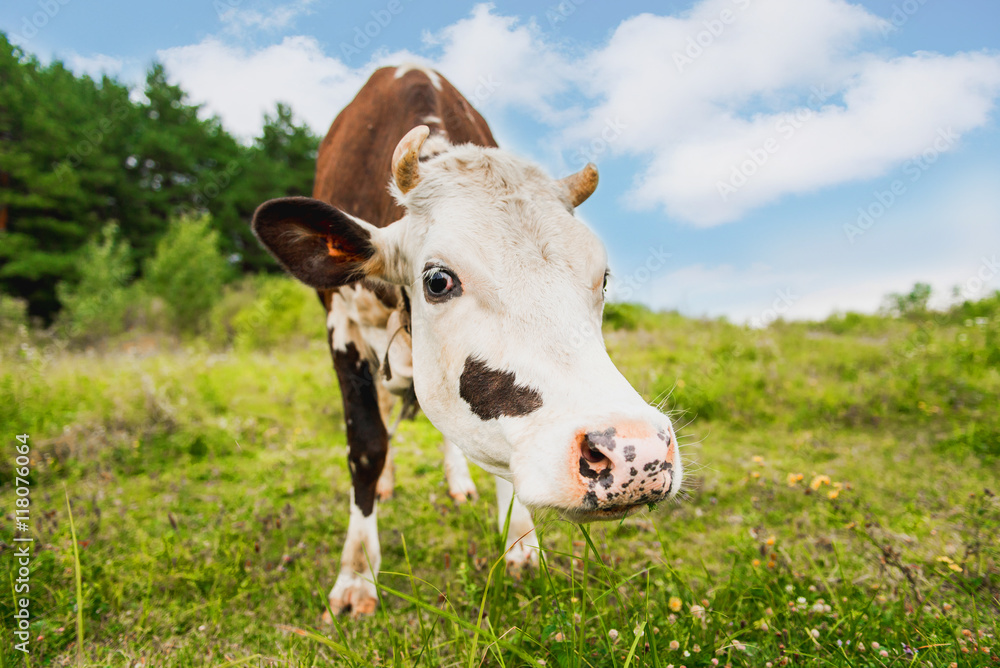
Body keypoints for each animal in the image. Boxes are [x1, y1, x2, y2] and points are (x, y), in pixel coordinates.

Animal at [254, 65, 684, 620]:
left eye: (603, 278)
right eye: (437, 280)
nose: (636, 452)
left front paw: (521, 543)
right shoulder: (341, 326)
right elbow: (367, 446)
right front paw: (356, 574)